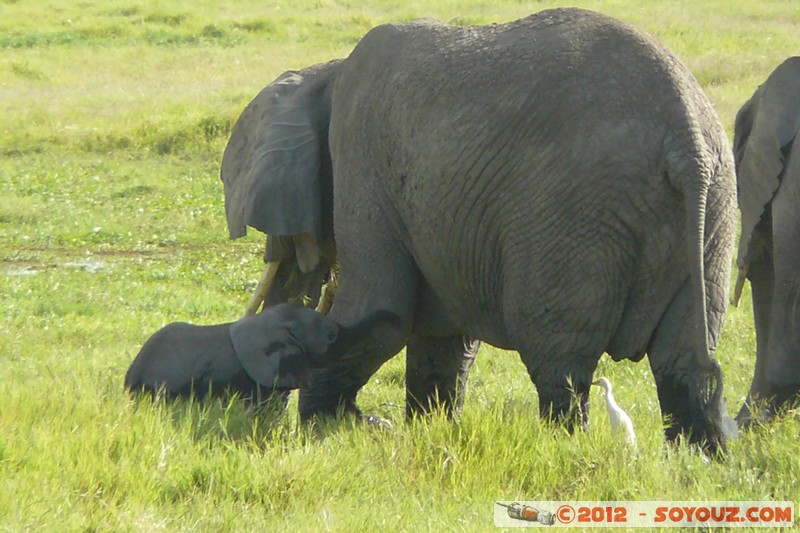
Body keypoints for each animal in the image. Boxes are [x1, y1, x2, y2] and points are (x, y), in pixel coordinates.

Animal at [219, 9, 736, 454]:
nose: (252, 417)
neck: (330, 70)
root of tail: (685, 138)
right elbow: (442, 337)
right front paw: (421, 429)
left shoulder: (361, 161)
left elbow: (380, 309)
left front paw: (328, 429)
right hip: (714, 211)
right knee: (684, 362)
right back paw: (698, 462)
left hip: (574, 218)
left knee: (561, 365)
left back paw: (565, 446)